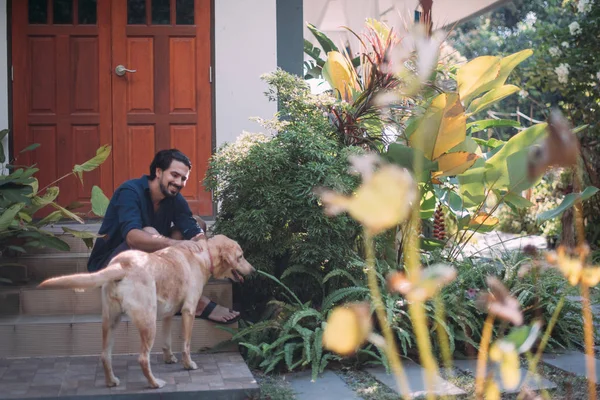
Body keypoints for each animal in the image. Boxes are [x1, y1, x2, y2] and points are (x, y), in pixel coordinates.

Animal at [37, 234, 253, 388]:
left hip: (110, 321)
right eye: (240, 256)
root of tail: (121, 266)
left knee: (105, 355)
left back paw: (112, 382)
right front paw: (188, 364)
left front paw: (169, 358)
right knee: (142, 358)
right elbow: (186, 344)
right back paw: (155, 383)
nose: (253, 271)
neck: (203, 254)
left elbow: (167, 342)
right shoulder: (189, 310)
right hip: (148, 321)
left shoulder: (168, 314)